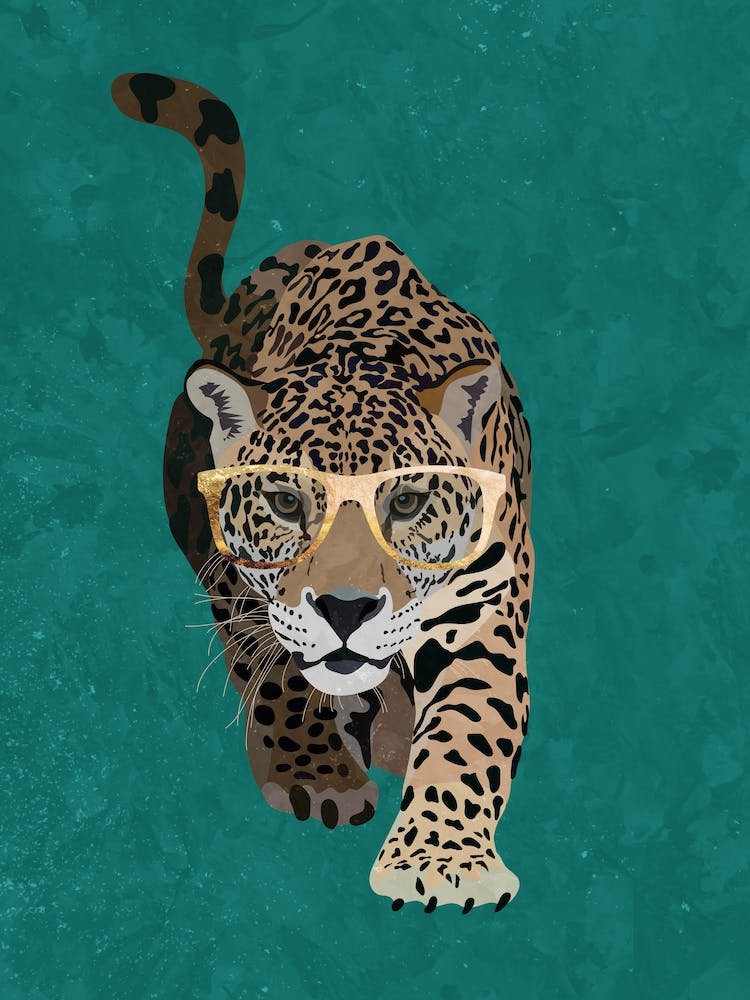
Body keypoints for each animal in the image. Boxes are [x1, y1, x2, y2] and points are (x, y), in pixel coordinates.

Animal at [111, 72, 534, 914]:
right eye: (284, 502)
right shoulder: (242, 584)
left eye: (405, 503)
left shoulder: (482, 607)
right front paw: (316, 774)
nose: (345, 610)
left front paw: (441, 861)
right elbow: (276, 669)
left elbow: (469, 729)